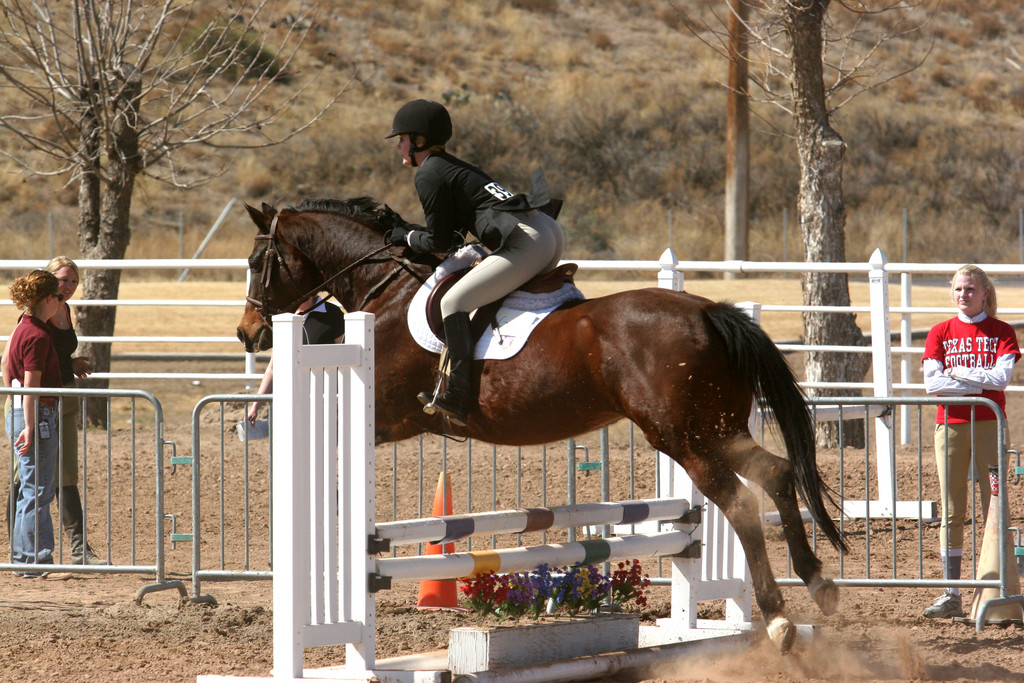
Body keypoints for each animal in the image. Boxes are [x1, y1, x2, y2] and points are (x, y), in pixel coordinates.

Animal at [237, 196, 847, 651]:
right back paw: (818, 582)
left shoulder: (386, 416)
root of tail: (707, 310)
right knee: (777, 473)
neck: (385, 290)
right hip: (718, 428)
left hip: (685, 437)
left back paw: (778, 619)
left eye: (255, 262)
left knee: (739, 500)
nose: (248, 333)